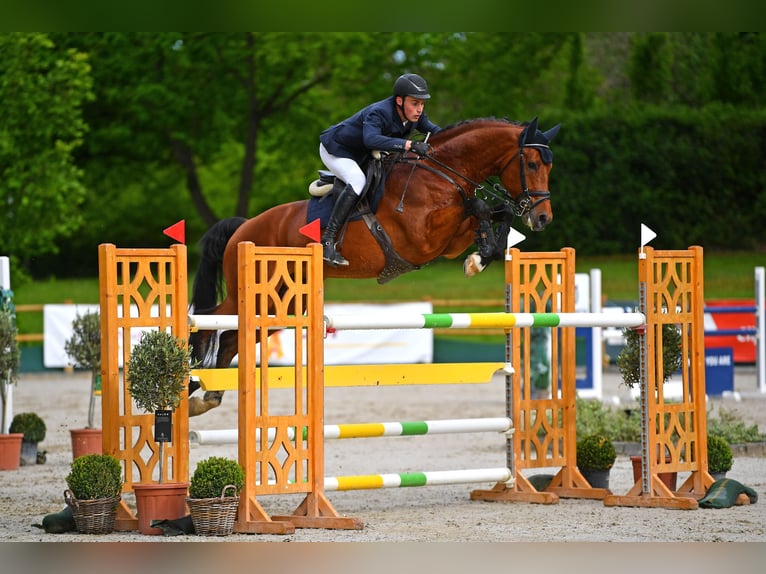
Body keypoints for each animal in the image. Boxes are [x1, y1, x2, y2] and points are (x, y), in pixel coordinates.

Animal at [186, 117, 560, 416]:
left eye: (549, 167)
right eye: (530, 163)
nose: (543, 218)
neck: (443, 173)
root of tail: (244, 228)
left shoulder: (448, 240)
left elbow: (496, 213)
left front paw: (483, 254)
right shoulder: (423, 237)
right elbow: (479, 208)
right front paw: (478, 256)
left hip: (283, 303)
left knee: (232, 338)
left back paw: (210, 394)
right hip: (250, 291)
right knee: (207, 322)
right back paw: (191, 385)